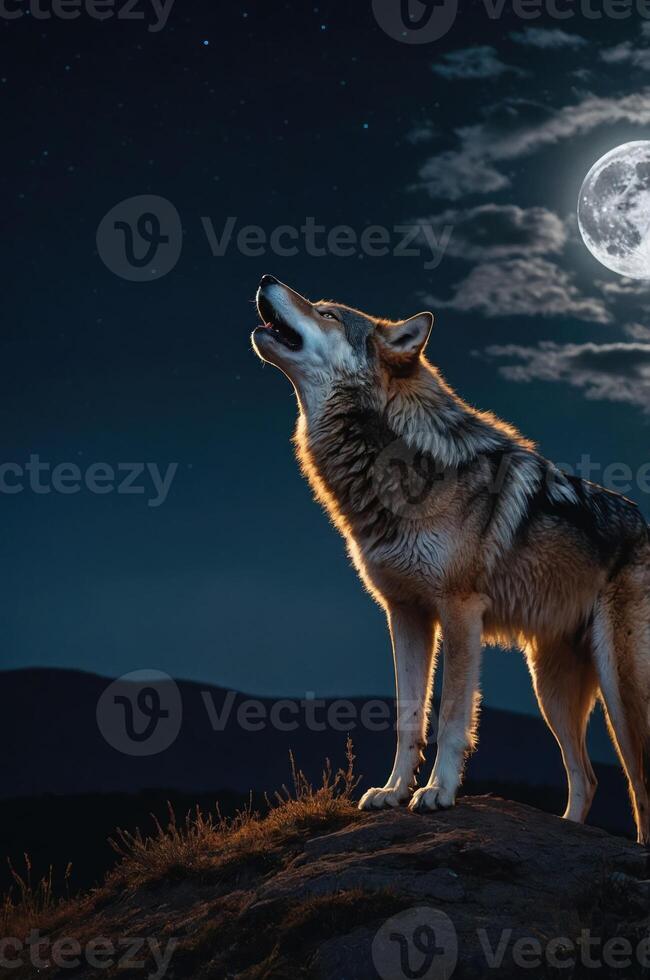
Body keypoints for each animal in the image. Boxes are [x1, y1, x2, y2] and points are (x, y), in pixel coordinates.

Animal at [251, 274, 650, 845]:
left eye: (327, 312)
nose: (266, 279)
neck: (393, 461)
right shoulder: (405, 613)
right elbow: (408, 717)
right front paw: (393, 791)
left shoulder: (460, 612)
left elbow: (453, 718)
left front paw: (437, 793)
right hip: (550, 688)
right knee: (588, 777)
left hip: (621, 691)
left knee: (638, 786)